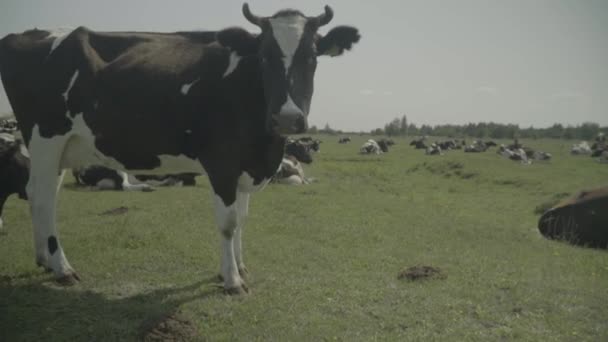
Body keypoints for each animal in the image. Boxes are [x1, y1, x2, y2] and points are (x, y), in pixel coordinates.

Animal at [0, 2, 360, 292]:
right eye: (264, 56)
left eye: (312, 57)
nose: (287, 118)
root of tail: (26, 34)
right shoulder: (221, 162)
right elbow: (228, 223)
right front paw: (231, 280)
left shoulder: (244, 166)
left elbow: (242, 219)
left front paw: (240, 267)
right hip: (46, 139)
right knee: (44, 199)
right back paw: (62, 268)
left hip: (63, 149)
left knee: (38, 193)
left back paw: (44, 259)